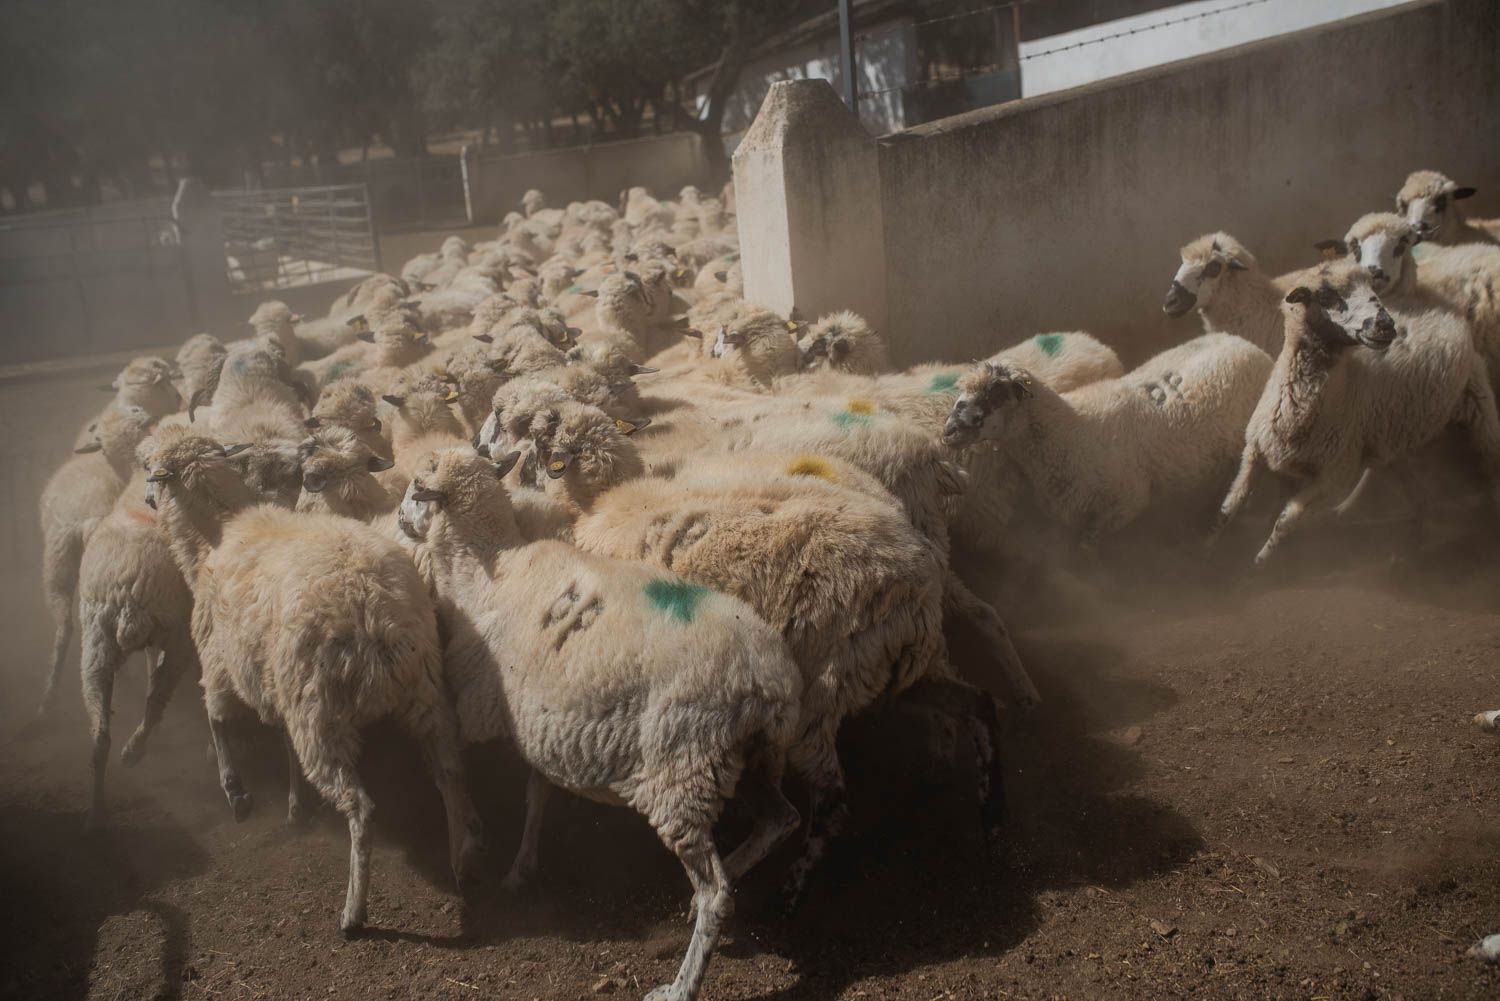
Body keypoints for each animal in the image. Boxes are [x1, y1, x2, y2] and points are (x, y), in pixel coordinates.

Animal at [393, 450, 804, 1001]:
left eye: (417, 487)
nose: (399, 519)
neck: (486, 573)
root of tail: (768, 681)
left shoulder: (482, 709)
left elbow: (452, 776)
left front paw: (468, 854)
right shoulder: (545, 723)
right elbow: (536, 796)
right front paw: (521, 869)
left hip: (682, 767)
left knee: (717, 893)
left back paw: (680, 984)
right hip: (753, 757)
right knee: (782, 820)